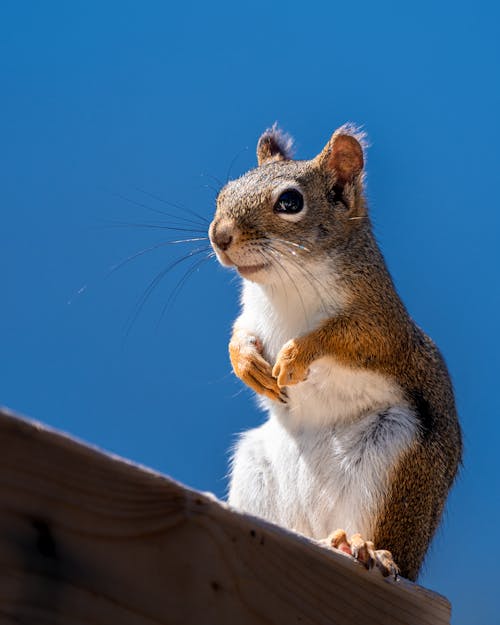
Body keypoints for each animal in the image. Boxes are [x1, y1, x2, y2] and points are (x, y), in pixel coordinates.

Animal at [207, 122, 460, 580]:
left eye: (290, 202)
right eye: (224, 192)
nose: (219, 236)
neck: (283, 285)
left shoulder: (381, 324)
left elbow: (345, 338)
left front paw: (295, 356)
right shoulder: (250, 314)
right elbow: (239, 333)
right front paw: (246, 363)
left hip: (393, 459)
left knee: (380, 539)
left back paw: (363, 548)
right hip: (256, 467)